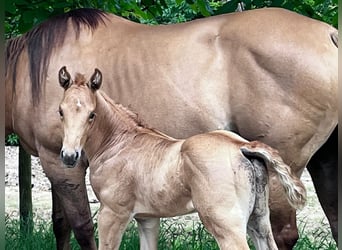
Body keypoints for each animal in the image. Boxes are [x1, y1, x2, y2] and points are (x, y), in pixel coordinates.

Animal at [57, 67, 306, 250]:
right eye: (61, 111)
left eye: (91, 114)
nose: (69, 156)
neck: (118, 144)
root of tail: (242, 147)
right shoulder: (147, 218)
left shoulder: (113, 213)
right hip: (259, 220)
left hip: (226, 225)